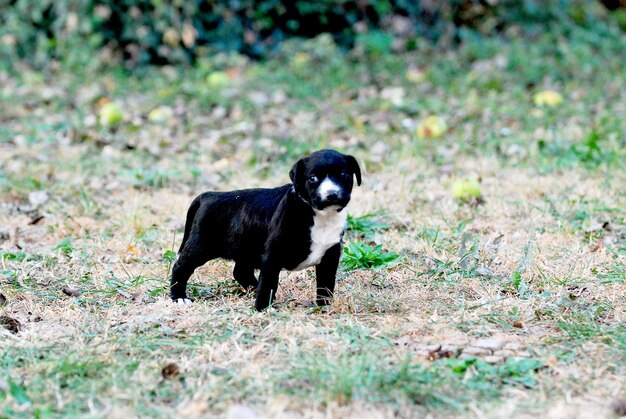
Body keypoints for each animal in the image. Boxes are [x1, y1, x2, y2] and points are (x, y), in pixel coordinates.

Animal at [171, 149, 358, 310]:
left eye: (343, 175)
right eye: (312, 178)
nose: (332, 194)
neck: (319, 215)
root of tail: (208, 195)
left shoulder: (330, 254)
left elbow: (326, 283)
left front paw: (324, 307)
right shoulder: (274, 253)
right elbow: (269, 281)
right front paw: (263, 308)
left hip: (245, 248)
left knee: (241, 271)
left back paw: (254, 289)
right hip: (201, 246)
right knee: (181, 266)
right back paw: (179, 297)